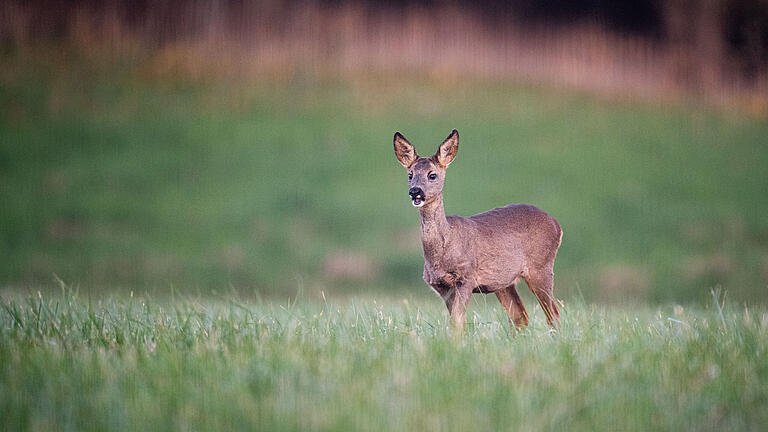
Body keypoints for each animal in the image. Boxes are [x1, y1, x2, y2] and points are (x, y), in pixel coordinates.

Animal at [392, 128, 560, 330]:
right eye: (410, 174)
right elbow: (455, 321)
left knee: (553, 313)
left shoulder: (466, 277)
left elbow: (457, 321)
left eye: (432, 175)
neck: (445, 246)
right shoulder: (442, 286)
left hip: (541, 267)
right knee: (521, 316)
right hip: (503, 282)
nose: (415, 191)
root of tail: (556, 224)